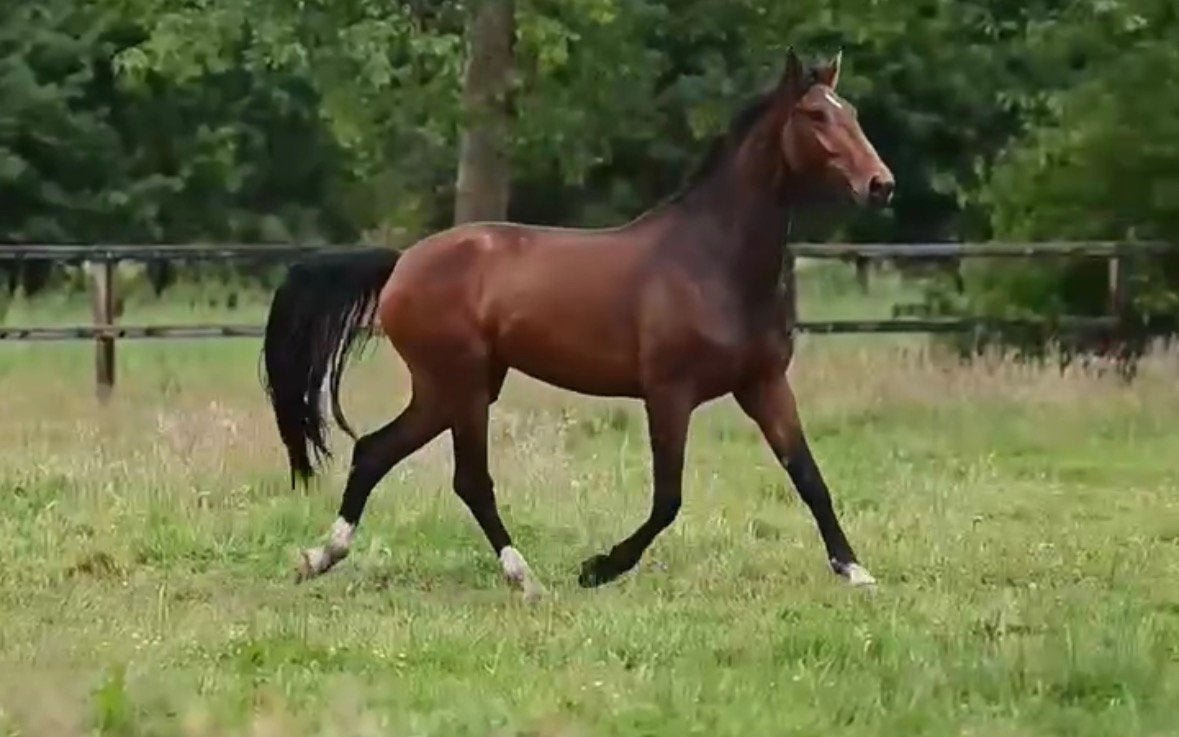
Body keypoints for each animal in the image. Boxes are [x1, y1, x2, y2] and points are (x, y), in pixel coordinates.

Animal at [261, 49, 895, 601]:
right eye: (816, 115)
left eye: (852, 112)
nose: (881, 185)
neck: (713, 260)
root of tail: (402, 264)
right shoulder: (669, 393)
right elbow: (668, 498)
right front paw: (598, 568)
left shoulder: (763, 384)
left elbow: (808, 475)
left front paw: (855, 571)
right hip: (461, 386)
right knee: (468, 480)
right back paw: (526, 579)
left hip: (454, 388)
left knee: (375, 451)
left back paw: (319, 558)